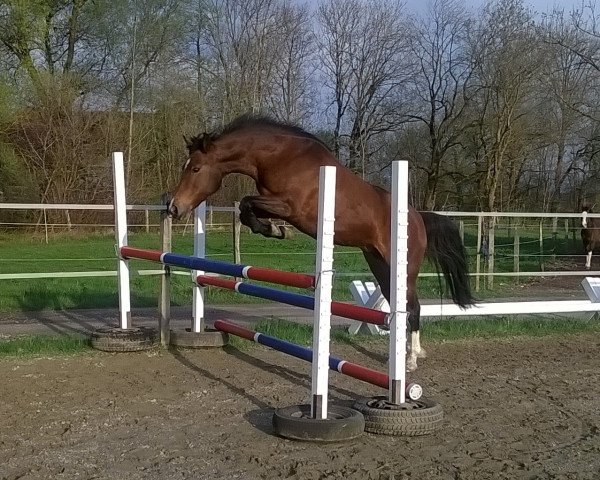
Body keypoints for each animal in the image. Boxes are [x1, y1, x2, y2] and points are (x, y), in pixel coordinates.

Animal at [168, 116, 474, 372]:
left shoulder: (290, 207)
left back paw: (411, 360)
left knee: (413, 307)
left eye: (195, 168)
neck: (281, 157)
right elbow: (246, 210)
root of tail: (417, 217)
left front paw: (277, 231)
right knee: (402, 306)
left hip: (405, 269)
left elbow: (246, 203)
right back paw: (399, 357)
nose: (174, 208)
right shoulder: (277, 204)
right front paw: (274, 230)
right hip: (379, 265)